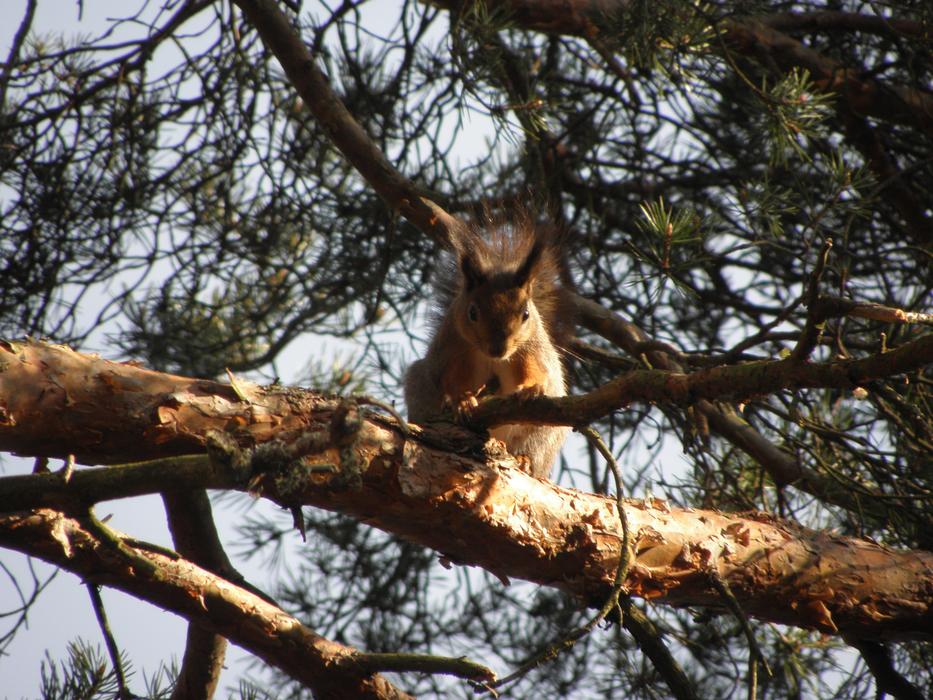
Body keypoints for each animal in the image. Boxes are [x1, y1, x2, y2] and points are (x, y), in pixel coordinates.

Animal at [404, 220, 569, 479]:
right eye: (472, 312)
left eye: (526, 314)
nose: (498, 349)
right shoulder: (451, 352)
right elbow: (451, 378)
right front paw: (462, 399)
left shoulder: (530, 349)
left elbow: (536, 369)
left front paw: (531, 387)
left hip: (544, 434)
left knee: (532, 450)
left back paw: (524, 460)